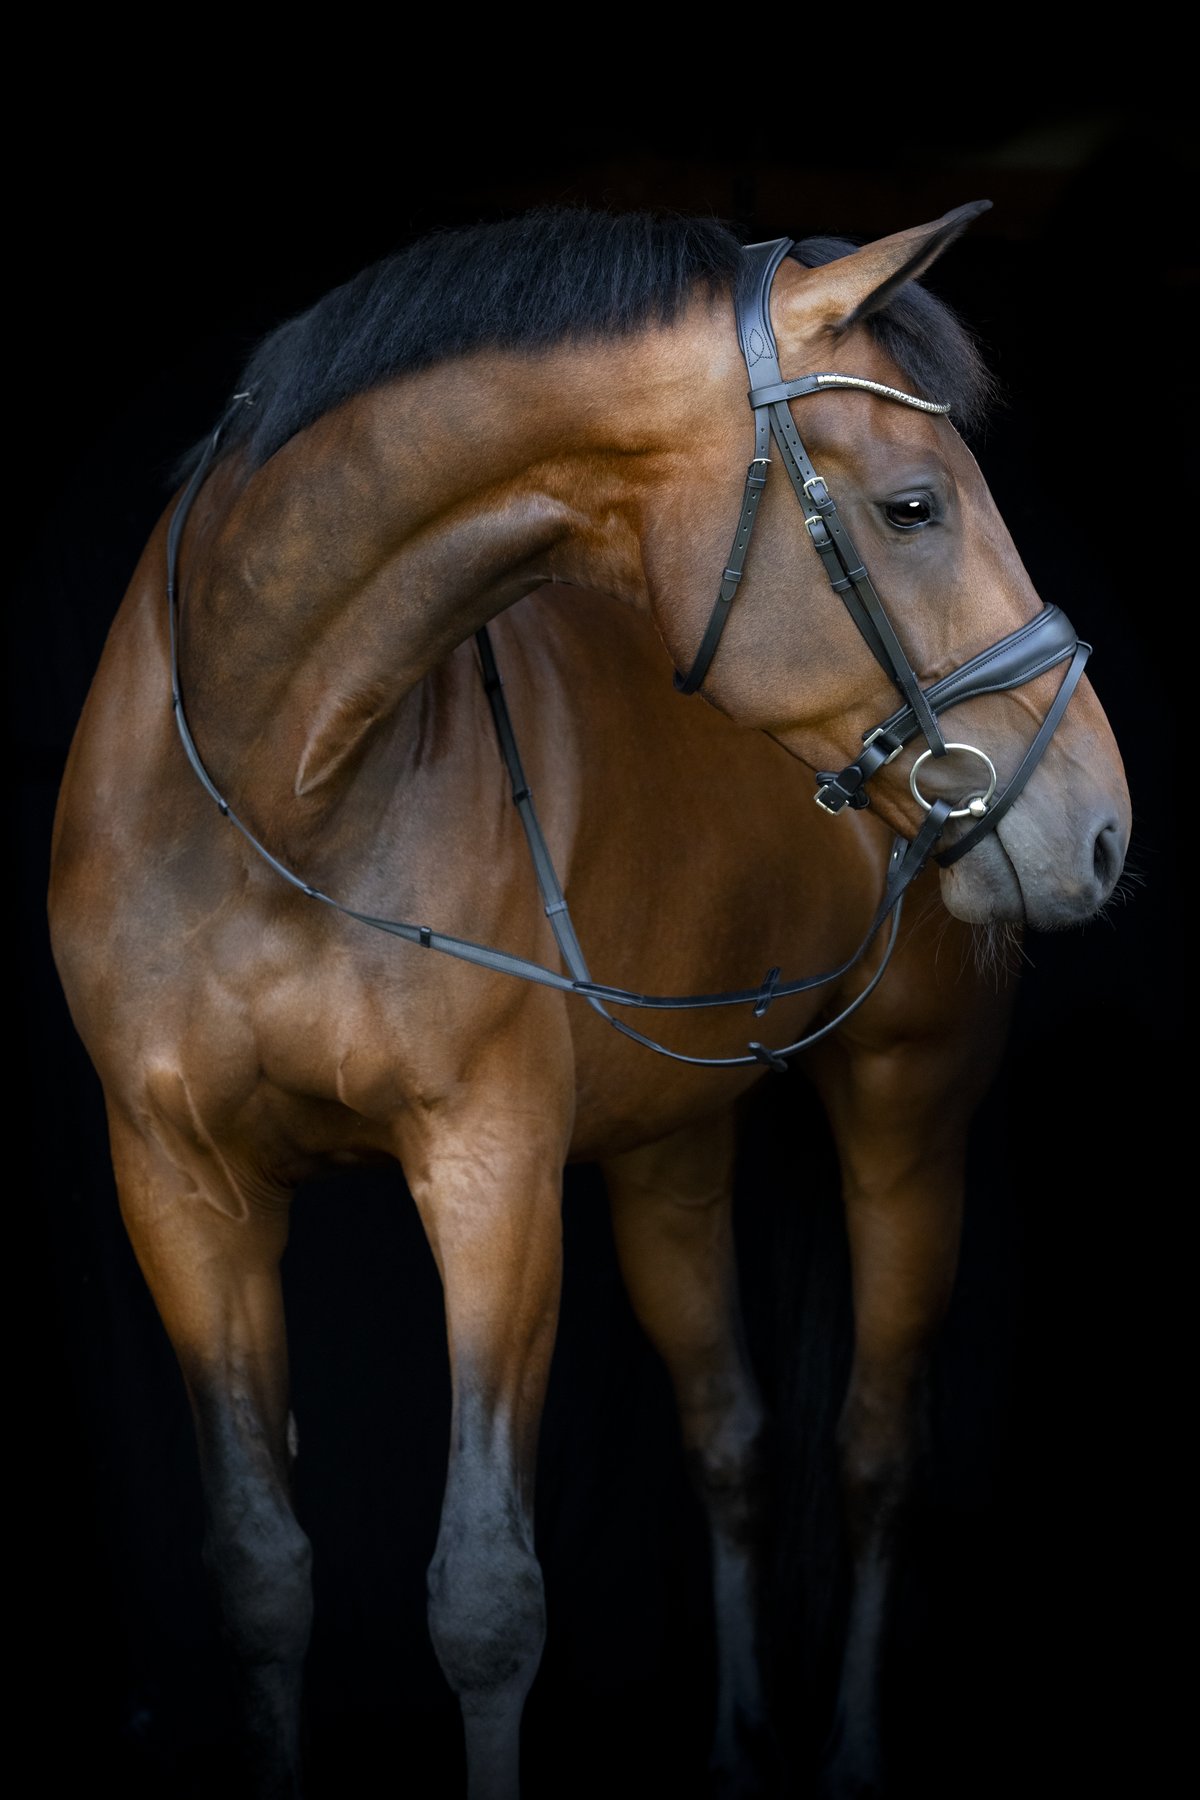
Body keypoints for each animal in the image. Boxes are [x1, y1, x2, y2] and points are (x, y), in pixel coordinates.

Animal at [48, 202, 1130, 1798]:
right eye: (915, 506)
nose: (1099, 825)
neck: (268, 788)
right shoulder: (181, 1190)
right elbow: (258, 1573)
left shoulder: (490, 1173)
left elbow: (487, 1603)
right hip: (669, 1152)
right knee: (729, 1432)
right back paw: (737, 1747)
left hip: (906, 1112)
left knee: (874, 1452)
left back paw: (850, 1751)